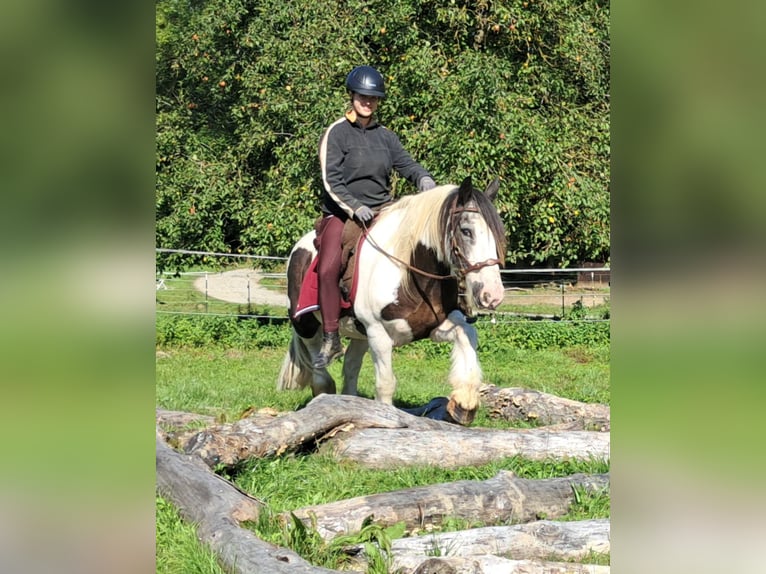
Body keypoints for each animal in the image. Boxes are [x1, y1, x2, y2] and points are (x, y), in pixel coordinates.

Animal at [280, 178, 508, 426]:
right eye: (466, 231)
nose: (493, 294)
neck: (409, 271)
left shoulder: (431, 326)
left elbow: (467, 335)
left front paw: (464, 402)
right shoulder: (378, 333)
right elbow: (386, 383)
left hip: (359, 334)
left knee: (351, 366)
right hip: (306, 324)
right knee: (318, 365)